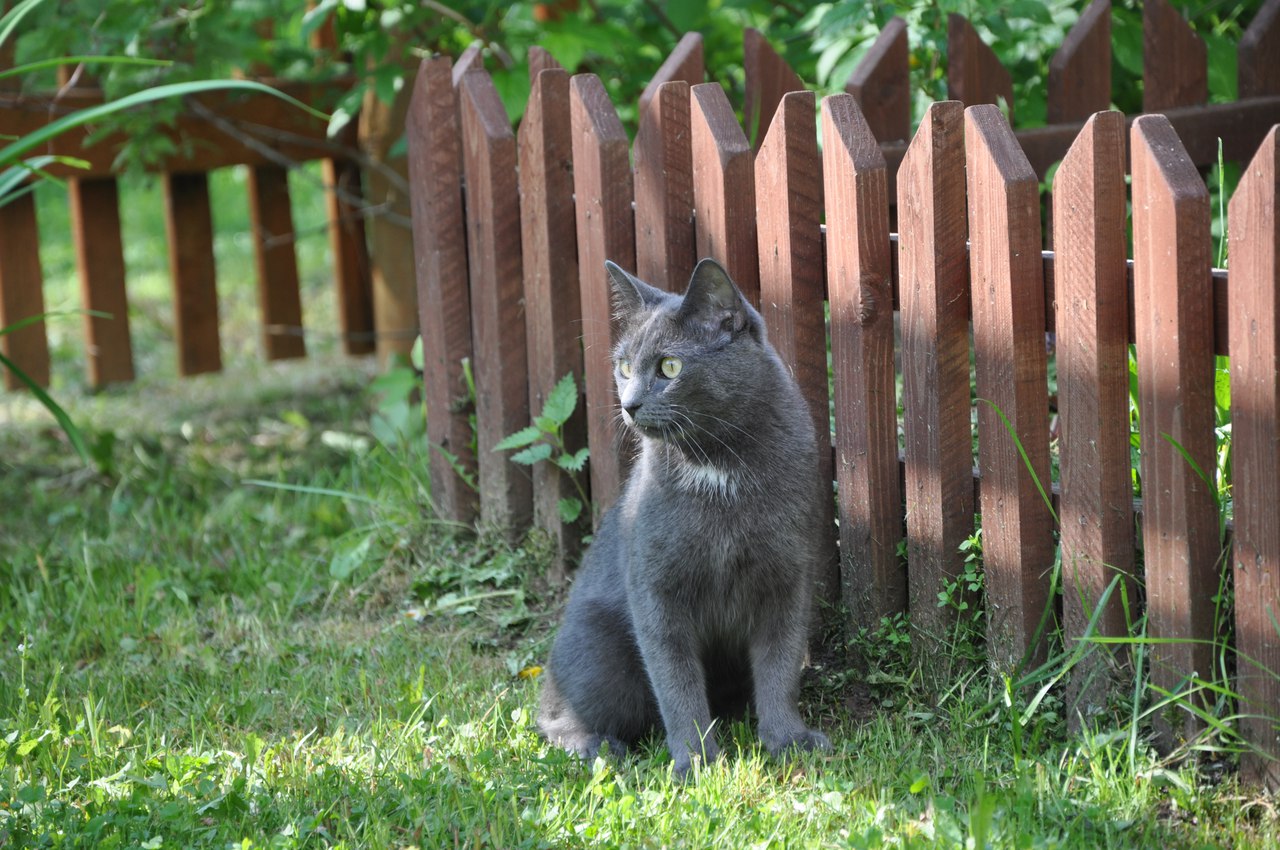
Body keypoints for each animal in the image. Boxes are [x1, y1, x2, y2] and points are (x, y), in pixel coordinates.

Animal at [537, 253, 829, 778]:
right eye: (624, 366)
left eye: (669, 366)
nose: (629, 404)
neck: (718, 464)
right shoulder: (655, 587)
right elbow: (675, 677)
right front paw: (696, 762)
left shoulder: (790, 574)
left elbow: (780, 663)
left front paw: (787, 740)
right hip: (600, 654)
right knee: (550, 713)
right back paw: (597, 747)